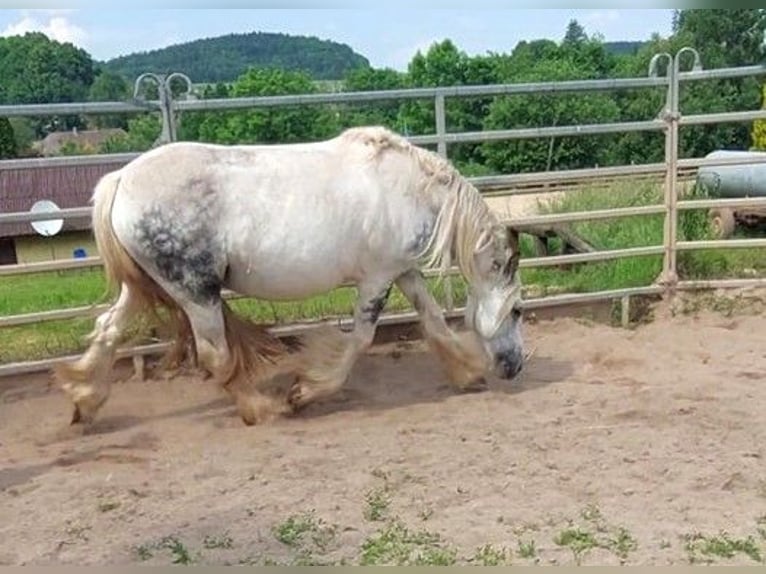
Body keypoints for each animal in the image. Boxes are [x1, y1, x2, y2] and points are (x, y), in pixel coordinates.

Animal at [54, 126, 528, 428]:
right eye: (518, 310)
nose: (515, 366)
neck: (409, 189)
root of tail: (120, 180)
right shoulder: (376, 278)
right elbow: (361, 339)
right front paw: (305, 392)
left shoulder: (403, 271)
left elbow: (434, 323)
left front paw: (467, 375)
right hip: (195, 292)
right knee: (216, 356)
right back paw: (261, 408)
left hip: (143, 286)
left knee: (107, 330)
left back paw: (84, 403)